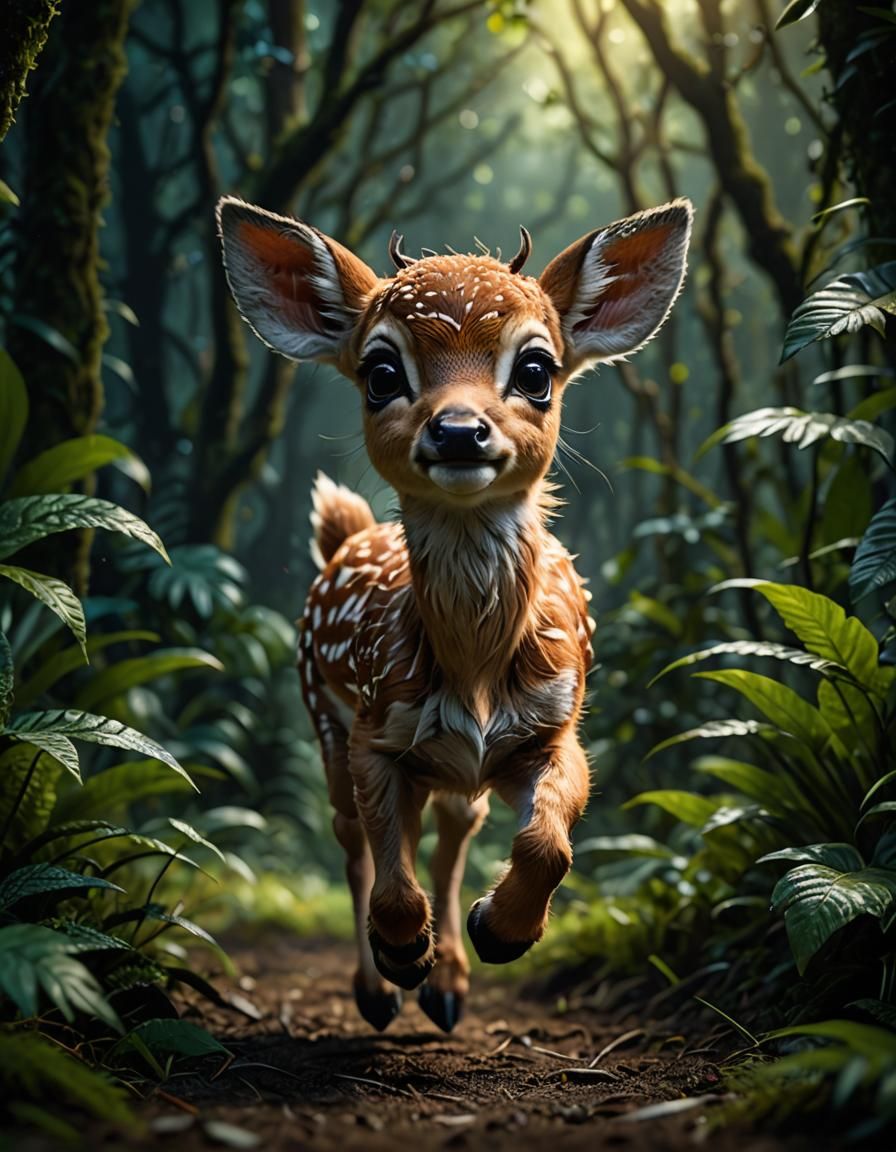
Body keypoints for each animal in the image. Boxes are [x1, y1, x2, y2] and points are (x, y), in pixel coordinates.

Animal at [217, 194, 692, 1034]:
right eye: (381, 372)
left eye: (536, 369)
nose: (460, 430)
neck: (471, 671)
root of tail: (346, 535)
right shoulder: (376, 729)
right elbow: (387, 875)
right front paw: (403, 950)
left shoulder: (554, 728)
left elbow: (548, 845)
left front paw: (495, 931)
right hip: (321, 713)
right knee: (356, 846)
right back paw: (381, 990)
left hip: (451, 771)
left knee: (447, 835)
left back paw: (449, 984)